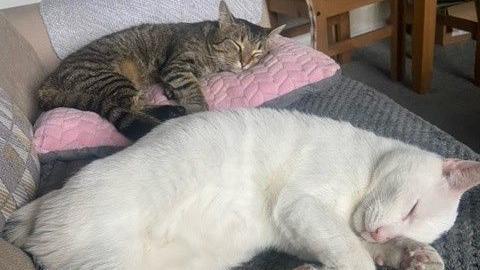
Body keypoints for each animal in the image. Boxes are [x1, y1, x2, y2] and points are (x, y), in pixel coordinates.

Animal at [3, 108, 480, 268]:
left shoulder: (299, 231)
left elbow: (359, 247)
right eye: (412, 208)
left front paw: (415, 254)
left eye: (412, 221)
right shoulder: (301, 205)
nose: (381, 231)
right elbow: (354, 256)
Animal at [39, 2, 284, 140]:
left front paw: (171, 92)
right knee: (131, 107)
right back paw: (170, 113)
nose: (245, 63)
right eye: (236, 45)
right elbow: (193, 91)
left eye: (257, 53)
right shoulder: (177, 66)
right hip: (112, 78)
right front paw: (197, 109)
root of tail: (47, 82)